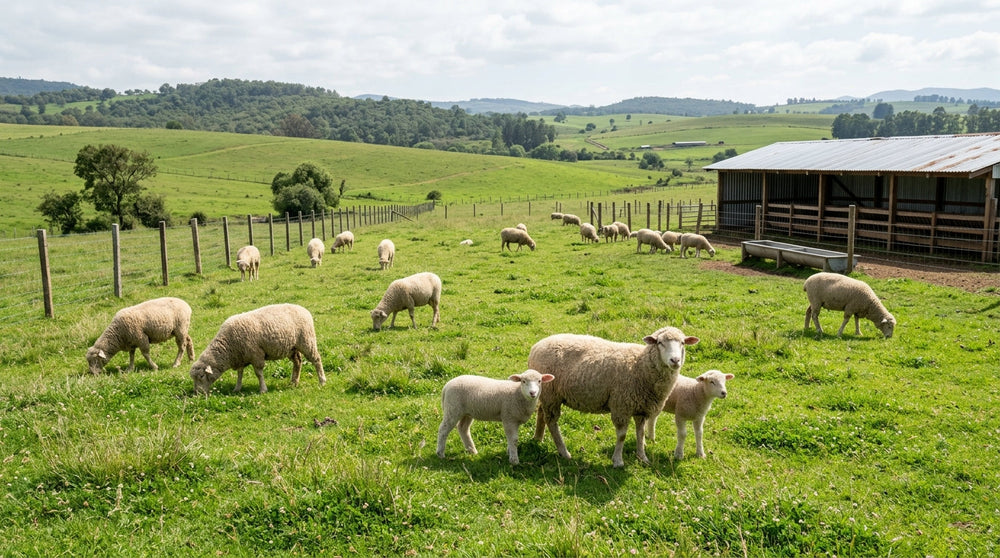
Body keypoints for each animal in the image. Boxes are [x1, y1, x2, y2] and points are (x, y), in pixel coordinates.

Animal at [189, 303, 325, 395]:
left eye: (201, 376)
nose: (197, 393)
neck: (228, 346)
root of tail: (304, 309)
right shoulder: (241, 357)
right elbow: (240, 374)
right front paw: (237, 388)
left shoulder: (256, 355)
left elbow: (258, 373)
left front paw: (263, 389)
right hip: (292, 347)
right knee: (298, 362)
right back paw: (294, 382)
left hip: (307, 341)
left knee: (317, 360)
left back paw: (322, 381)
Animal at [529, 326, 700, 467]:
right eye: (659, 342)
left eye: (683, 343)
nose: (675, 360)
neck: (640, 365)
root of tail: (536, 347)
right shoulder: (621, 405)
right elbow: (622, 436)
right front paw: (618, 461)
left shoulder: (642, 408)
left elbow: (640, 433)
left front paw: (642, 457)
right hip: (551, 395)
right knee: (552, 422)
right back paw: (564, 452)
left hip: (546, 394)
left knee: (541, 413)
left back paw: (538, 438)